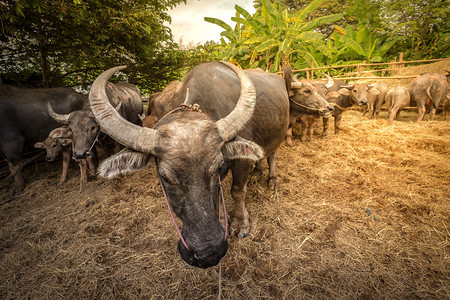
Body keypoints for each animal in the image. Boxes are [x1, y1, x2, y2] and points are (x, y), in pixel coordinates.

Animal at [88, 62, 290, 268]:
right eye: (165, 177)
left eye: (217, 167)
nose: (208, 254)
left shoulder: (240, 162)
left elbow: (237, 191)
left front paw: (241, 225)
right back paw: (257, 171)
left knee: (272, 154)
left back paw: (271, 179)